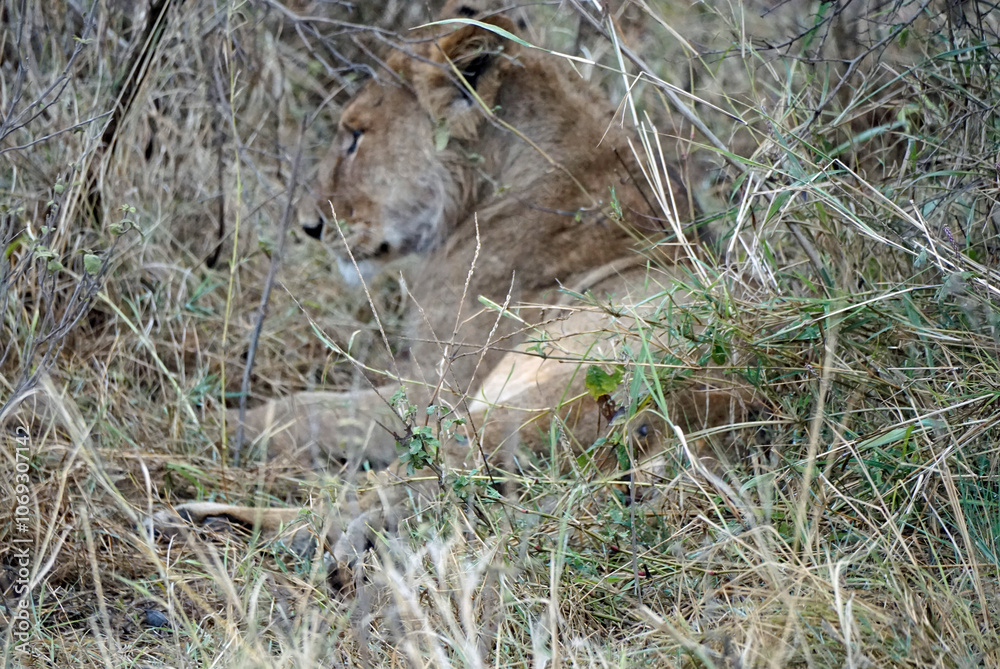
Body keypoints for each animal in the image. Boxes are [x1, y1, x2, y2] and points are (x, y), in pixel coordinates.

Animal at [154, 4, 755, 561]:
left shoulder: (431, 391)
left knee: (372, 494)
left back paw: (204, 521)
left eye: (355, 135)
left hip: (505, 409)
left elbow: (308, 410)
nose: (309, 225)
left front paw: (211, 422)